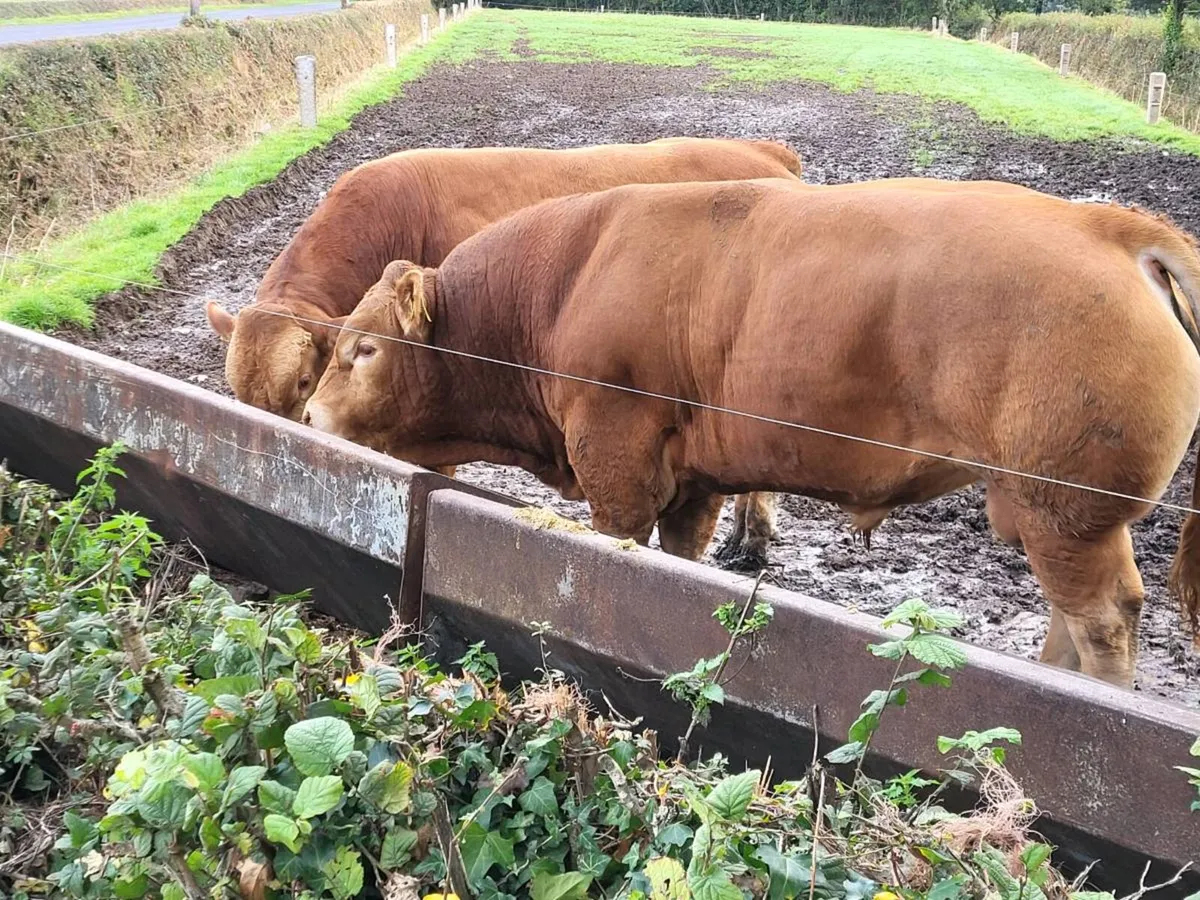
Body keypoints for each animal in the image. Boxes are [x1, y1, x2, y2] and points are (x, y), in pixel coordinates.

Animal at [303, 177, 1200, 688]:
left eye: (364, 348)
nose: (308, 416)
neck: (562, 282)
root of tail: (1114, 229)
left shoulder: (616, 458)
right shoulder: (690, 480)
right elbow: (679, 559)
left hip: (1066, 511)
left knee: (1103, 620)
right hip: (1053, 513)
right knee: (1069, 619)